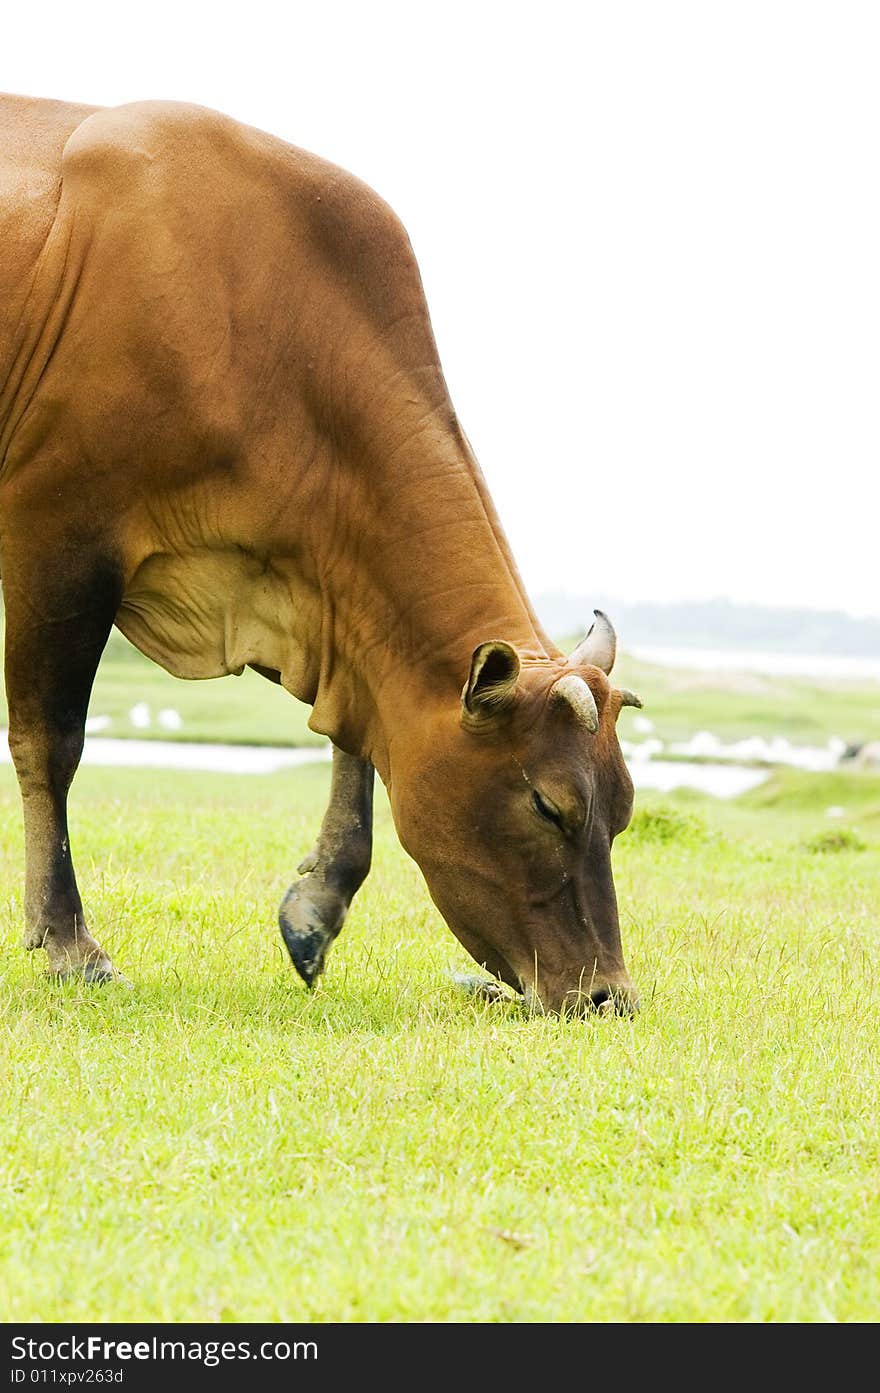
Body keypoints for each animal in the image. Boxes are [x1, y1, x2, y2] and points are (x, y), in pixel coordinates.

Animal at [1, 95, 640, 1014]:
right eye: (549, 806)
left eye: (623, 810)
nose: (608, 996)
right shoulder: (59, 533)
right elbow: (51, 742)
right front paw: (69, 943)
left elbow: (360, 739)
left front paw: (318, 903)